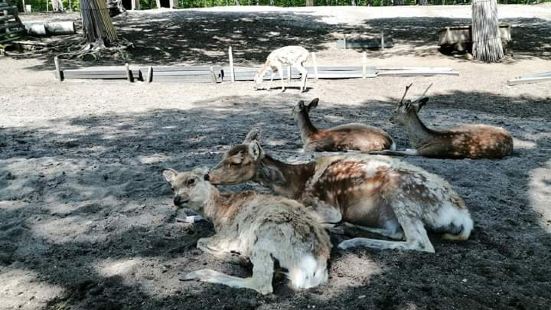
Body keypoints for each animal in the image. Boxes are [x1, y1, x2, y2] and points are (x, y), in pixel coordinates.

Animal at [162, 166, 330, 294]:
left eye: (191, 180)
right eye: (172, 187)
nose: (176, 200)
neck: (218, 213)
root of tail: (317, 266)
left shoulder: (227, 236)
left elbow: (200, 241)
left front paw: (236, 256)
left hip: (262, 236)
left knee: (262, 284)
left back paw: (196, 273)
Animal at [207, 130, 474, 253]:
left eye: (236, 162)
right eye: (224, 154)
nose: (208, 176)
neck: (295, 185)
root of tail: (463, 217)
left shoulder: (327, 207)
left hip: (400, 191)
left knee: (420, 243)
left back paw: (350, 240)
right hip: (390, 213)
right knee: (397, 232)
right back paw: (350, 229)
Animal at [378, 83, 516, 159]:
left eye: (395, 111)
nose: (390, 119)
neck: (422, 141)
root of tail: (511, 139)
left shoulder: (428, 151)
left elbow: (398, 151)